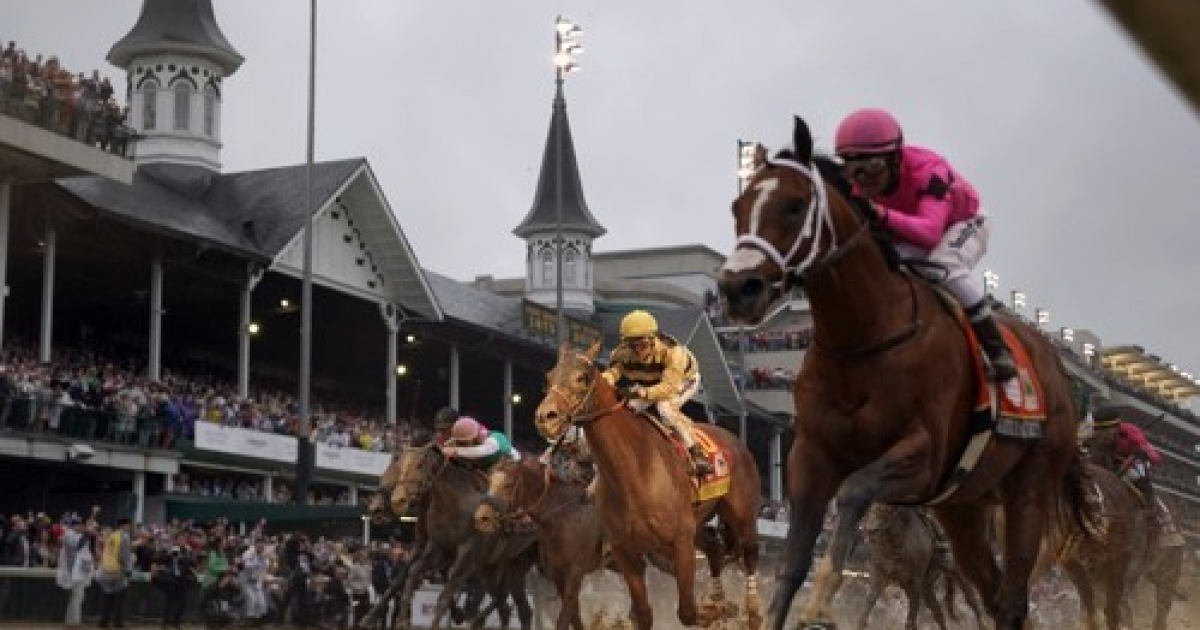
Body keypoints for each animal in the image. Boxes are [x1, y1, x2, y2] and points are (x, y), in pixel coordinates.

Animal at [470, 451, 604, 628]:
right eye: (489, 482)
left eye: (509, 484)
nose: (482, 518)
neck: (565, 516)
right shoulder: (557, 571)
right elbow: (574, 614)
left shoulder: (576, 571)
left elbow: (565, 617)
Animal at [537, 343, 763, 628]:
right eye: (548, 378)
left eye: (581, 377)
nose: (545, 417)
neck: (634, 471)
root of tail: (733, 439)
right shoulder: (625, 551)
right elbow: (644, 614)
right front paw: (715, 609)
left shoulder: (680, 542)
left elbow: (687, 612)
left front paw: (713, 612)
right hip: (697, 523)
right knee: (715, 550)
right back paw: (717, 600)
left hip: (741, 514)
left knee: (749, 553)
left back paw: (753, 612)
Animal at [710, 114, 1099, 628]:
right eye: (737, 207)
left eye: (794, 205)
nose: (739, 289)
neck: (864, 337)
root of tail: (1057, 372)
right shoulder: (810, 455)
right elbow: (791, 566)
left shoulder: (924, 455)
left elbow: (854, 491)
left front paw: (822, 599)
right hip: (963, 507)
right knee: (994, 594)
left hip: (1029, 490)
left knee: (1014, 595)